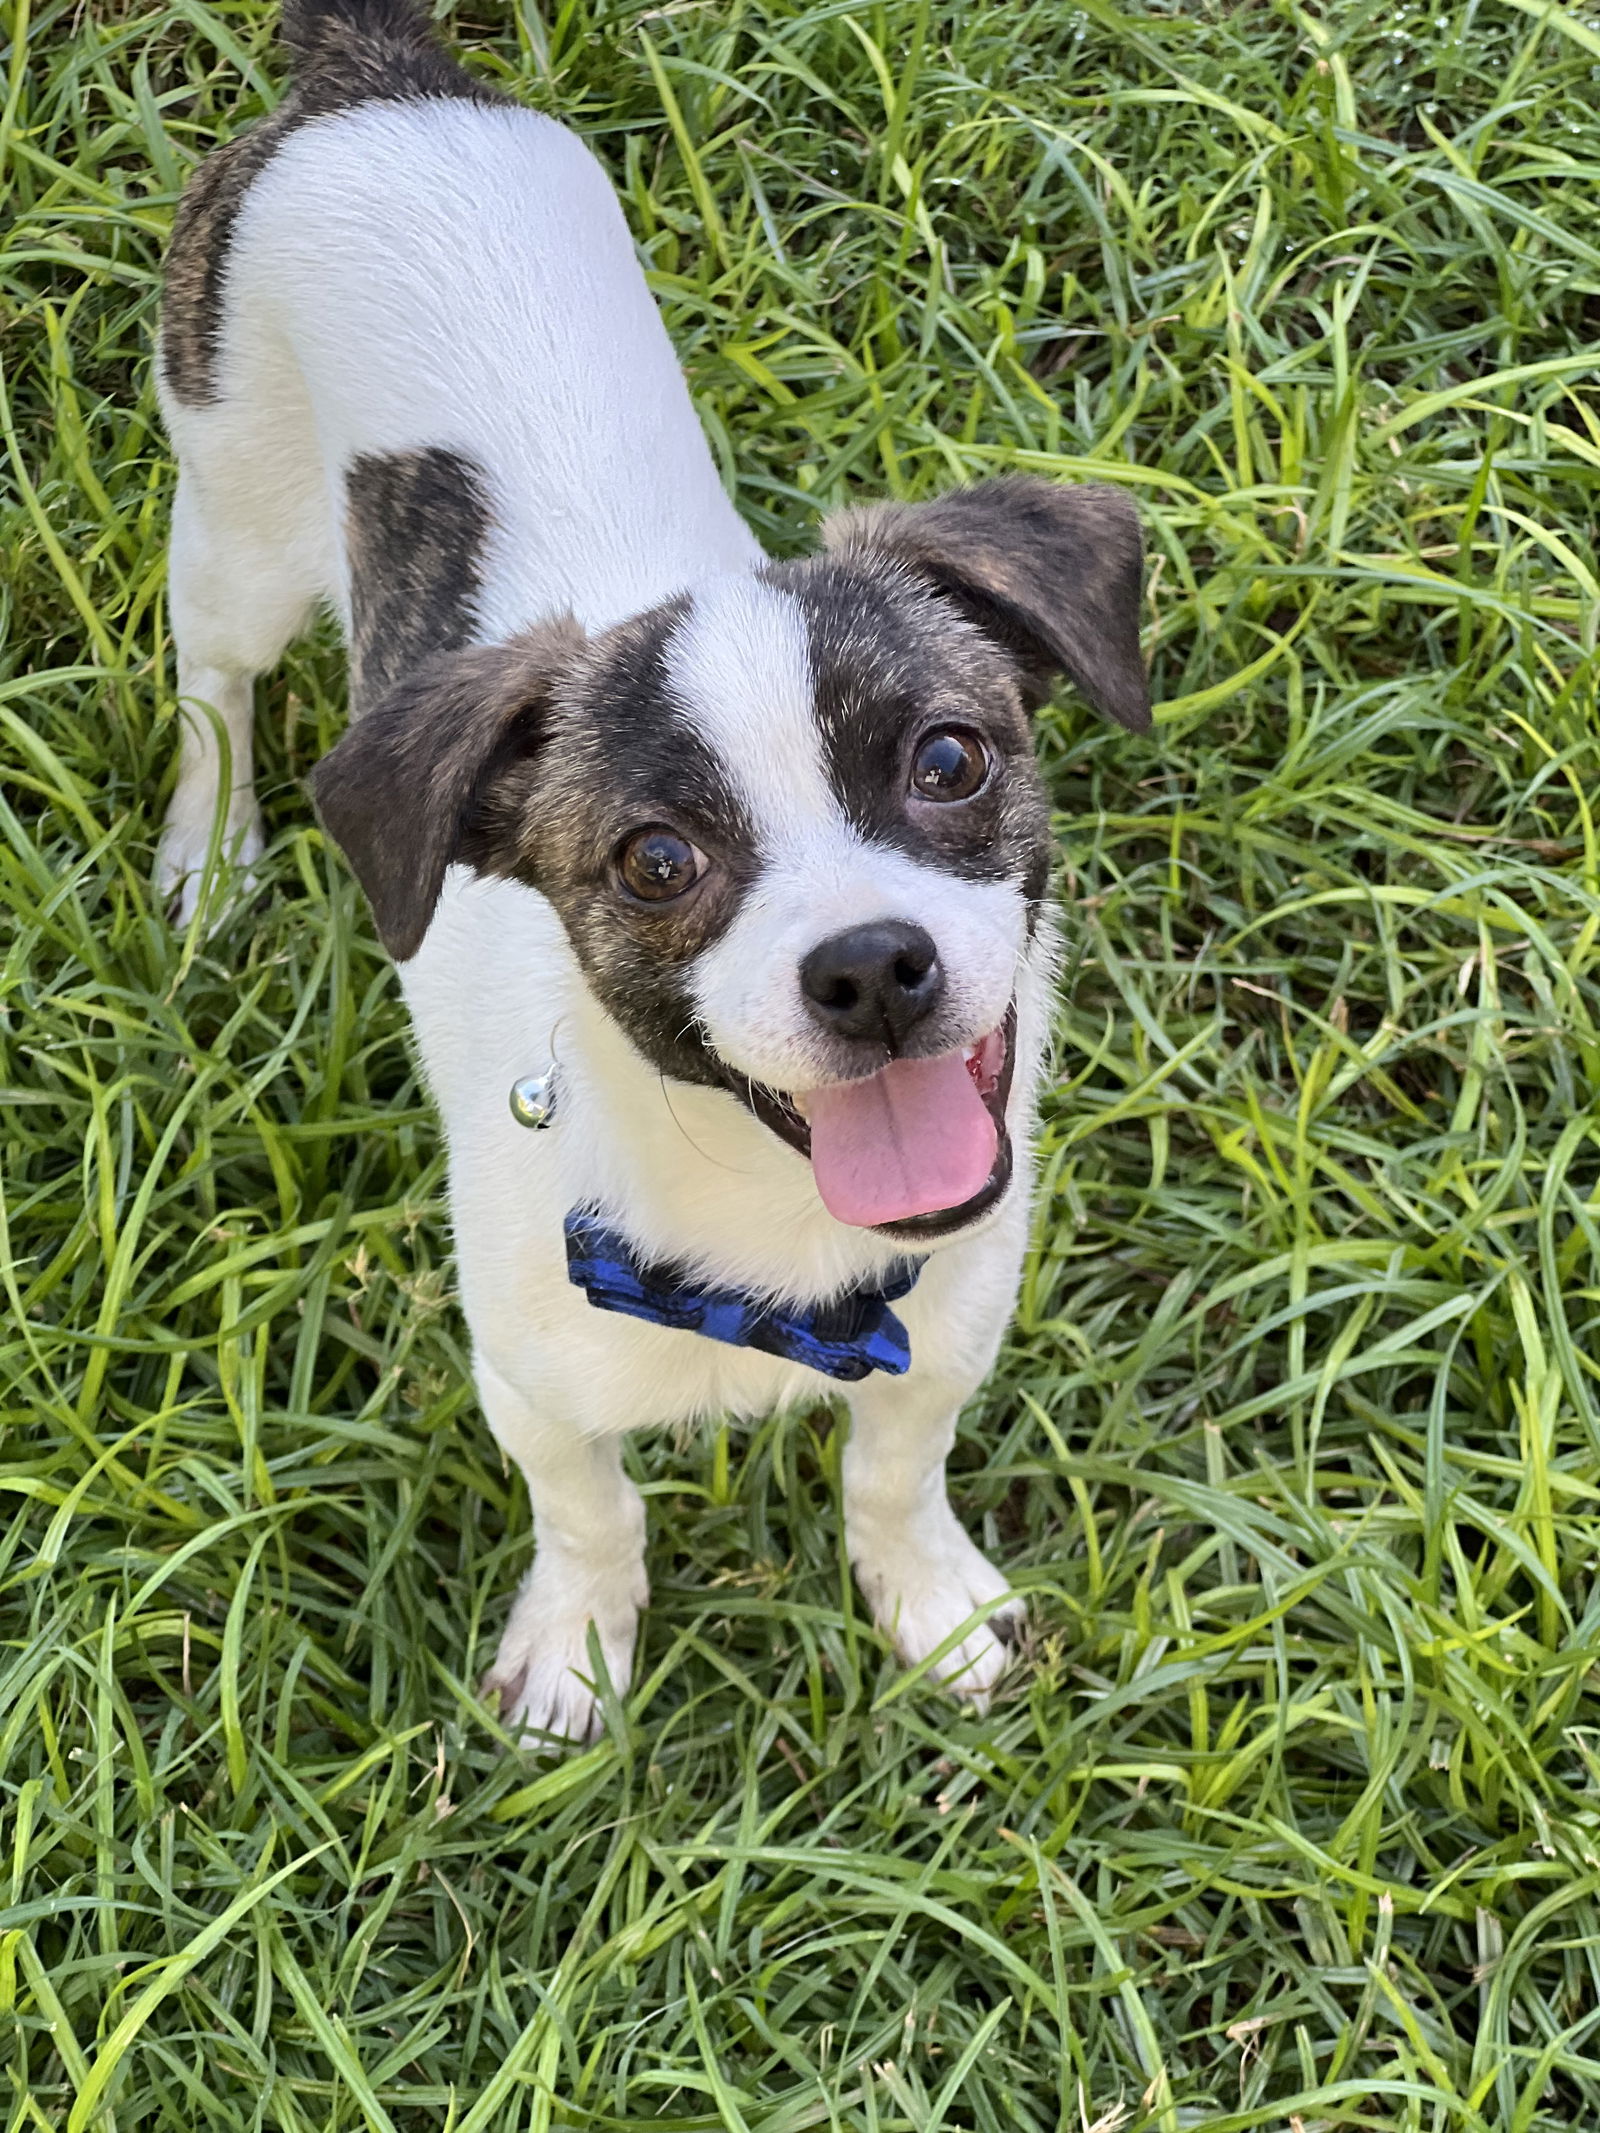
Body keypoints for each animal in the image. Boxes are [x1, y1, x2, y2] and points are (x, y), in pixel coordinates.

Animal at [156, 0, 1152, 1740]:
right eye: (657, 860)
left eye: (948, 761)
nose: (871, 966)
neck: (773, 1234)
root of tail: (373, 73)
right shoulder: (532, 1384)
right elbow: (591, 1509)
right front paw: (575, 1646)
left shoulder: (949, 1332)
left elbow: (894, 1473)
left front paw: (930, 1601)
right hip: (235, 525)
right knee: (211, 676)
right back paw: (212, 858)